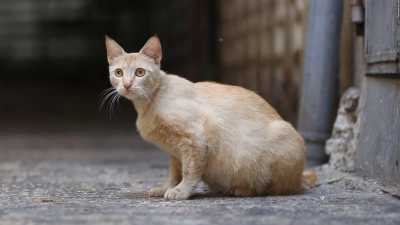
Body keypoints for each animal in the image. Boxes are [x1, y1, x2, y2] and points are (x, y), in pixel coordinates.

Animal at [104, 35, 318, 200]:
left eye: (140, 72)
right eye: (119, 72)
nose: (127, 84)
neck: (149, 102)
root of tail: (300, 176)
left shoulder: (195, 139)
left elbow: (190, 170)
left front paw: (181, 191)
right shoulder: (175, 151)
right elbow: (175, 172)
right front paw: (167, 187)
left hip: (283, 135)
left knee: (277, 188)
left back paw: (243, 189)